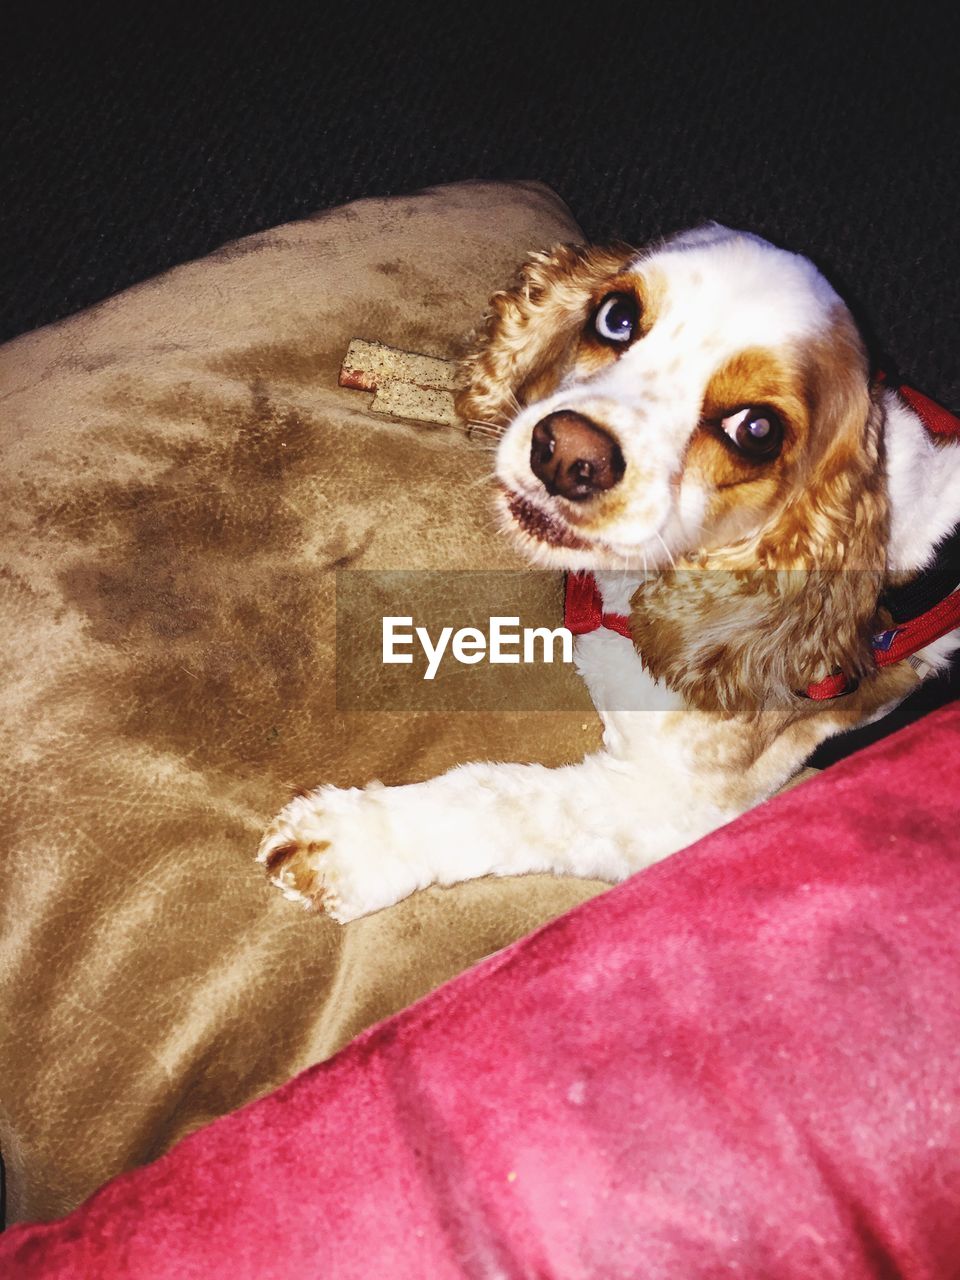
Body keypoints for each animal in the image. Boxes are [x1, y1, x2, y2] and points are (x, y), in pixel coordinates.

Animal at [256, 222, 960, 921]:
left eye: (756, 429)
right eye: (615, 317)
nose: (568, 454)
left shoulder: (665, 804)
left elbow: (506, 799)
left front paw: (352, 844)